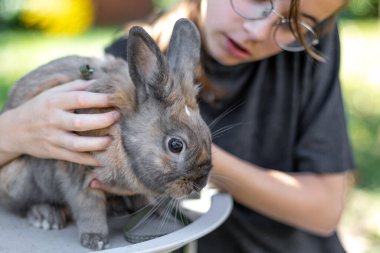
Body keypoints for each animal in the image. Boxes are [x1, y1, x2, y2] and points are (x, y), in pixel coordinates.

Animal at [0, 18, 211, 251]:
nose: (200, 184)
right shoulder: (78, 172)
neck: (121, 134)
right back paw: (45, 216)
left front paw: (152, 211)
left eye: (207, 133)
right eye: (176, 145)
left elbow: (141, 198)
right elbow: (88, 207)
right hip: (19, 177)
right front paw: (95, 240)